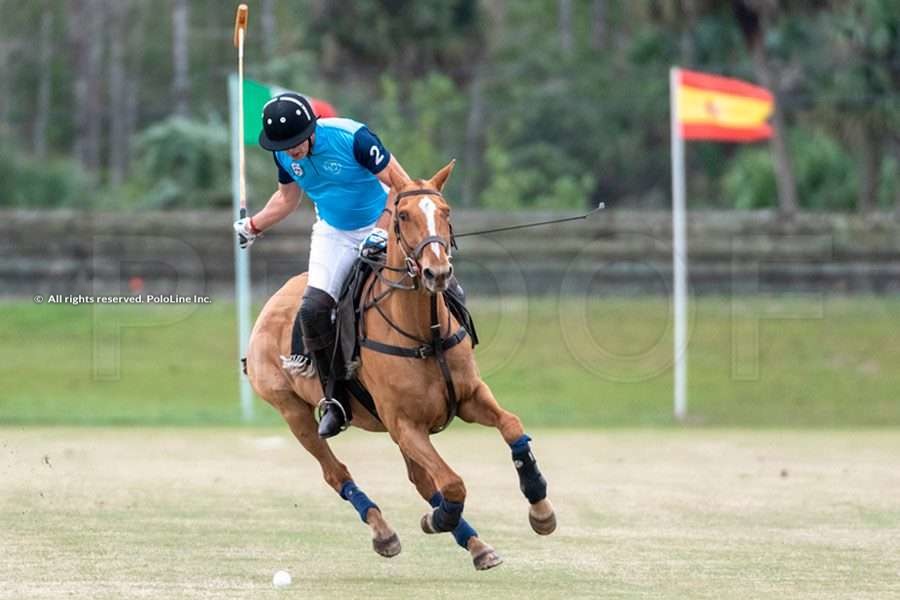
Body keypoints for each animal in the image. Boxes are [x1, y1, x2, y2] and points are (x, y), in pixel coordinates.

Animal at [246, 161, 556, 572]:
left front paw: (540, 509)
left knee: (420, 479)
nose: (437, 272)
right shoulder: (405, 423)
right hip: (293, 411)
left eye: (446, 212)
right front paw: (438, 519)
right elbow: (452, 482)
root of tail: (270, 305)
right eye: (404, 215)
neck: (426, 333)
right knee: (336, 472)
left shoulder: (469, 397)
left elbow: (512, 427)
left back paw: (476, 544)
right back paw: (385, 532)